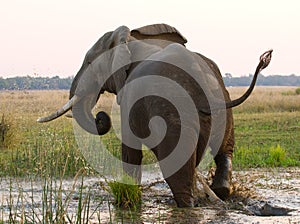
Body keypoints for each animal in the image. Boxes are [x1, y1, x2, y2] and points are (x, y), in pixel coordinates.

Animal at [38, 23, 272, 207]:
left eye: (88, 63)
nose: (100, 116)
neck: (129, 39)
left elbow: (130, 150)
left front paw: (127, 200)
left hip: (174, 109)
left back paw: (187, 204)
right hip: (222, 105)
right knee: (224, 150)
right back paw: (218, 193)